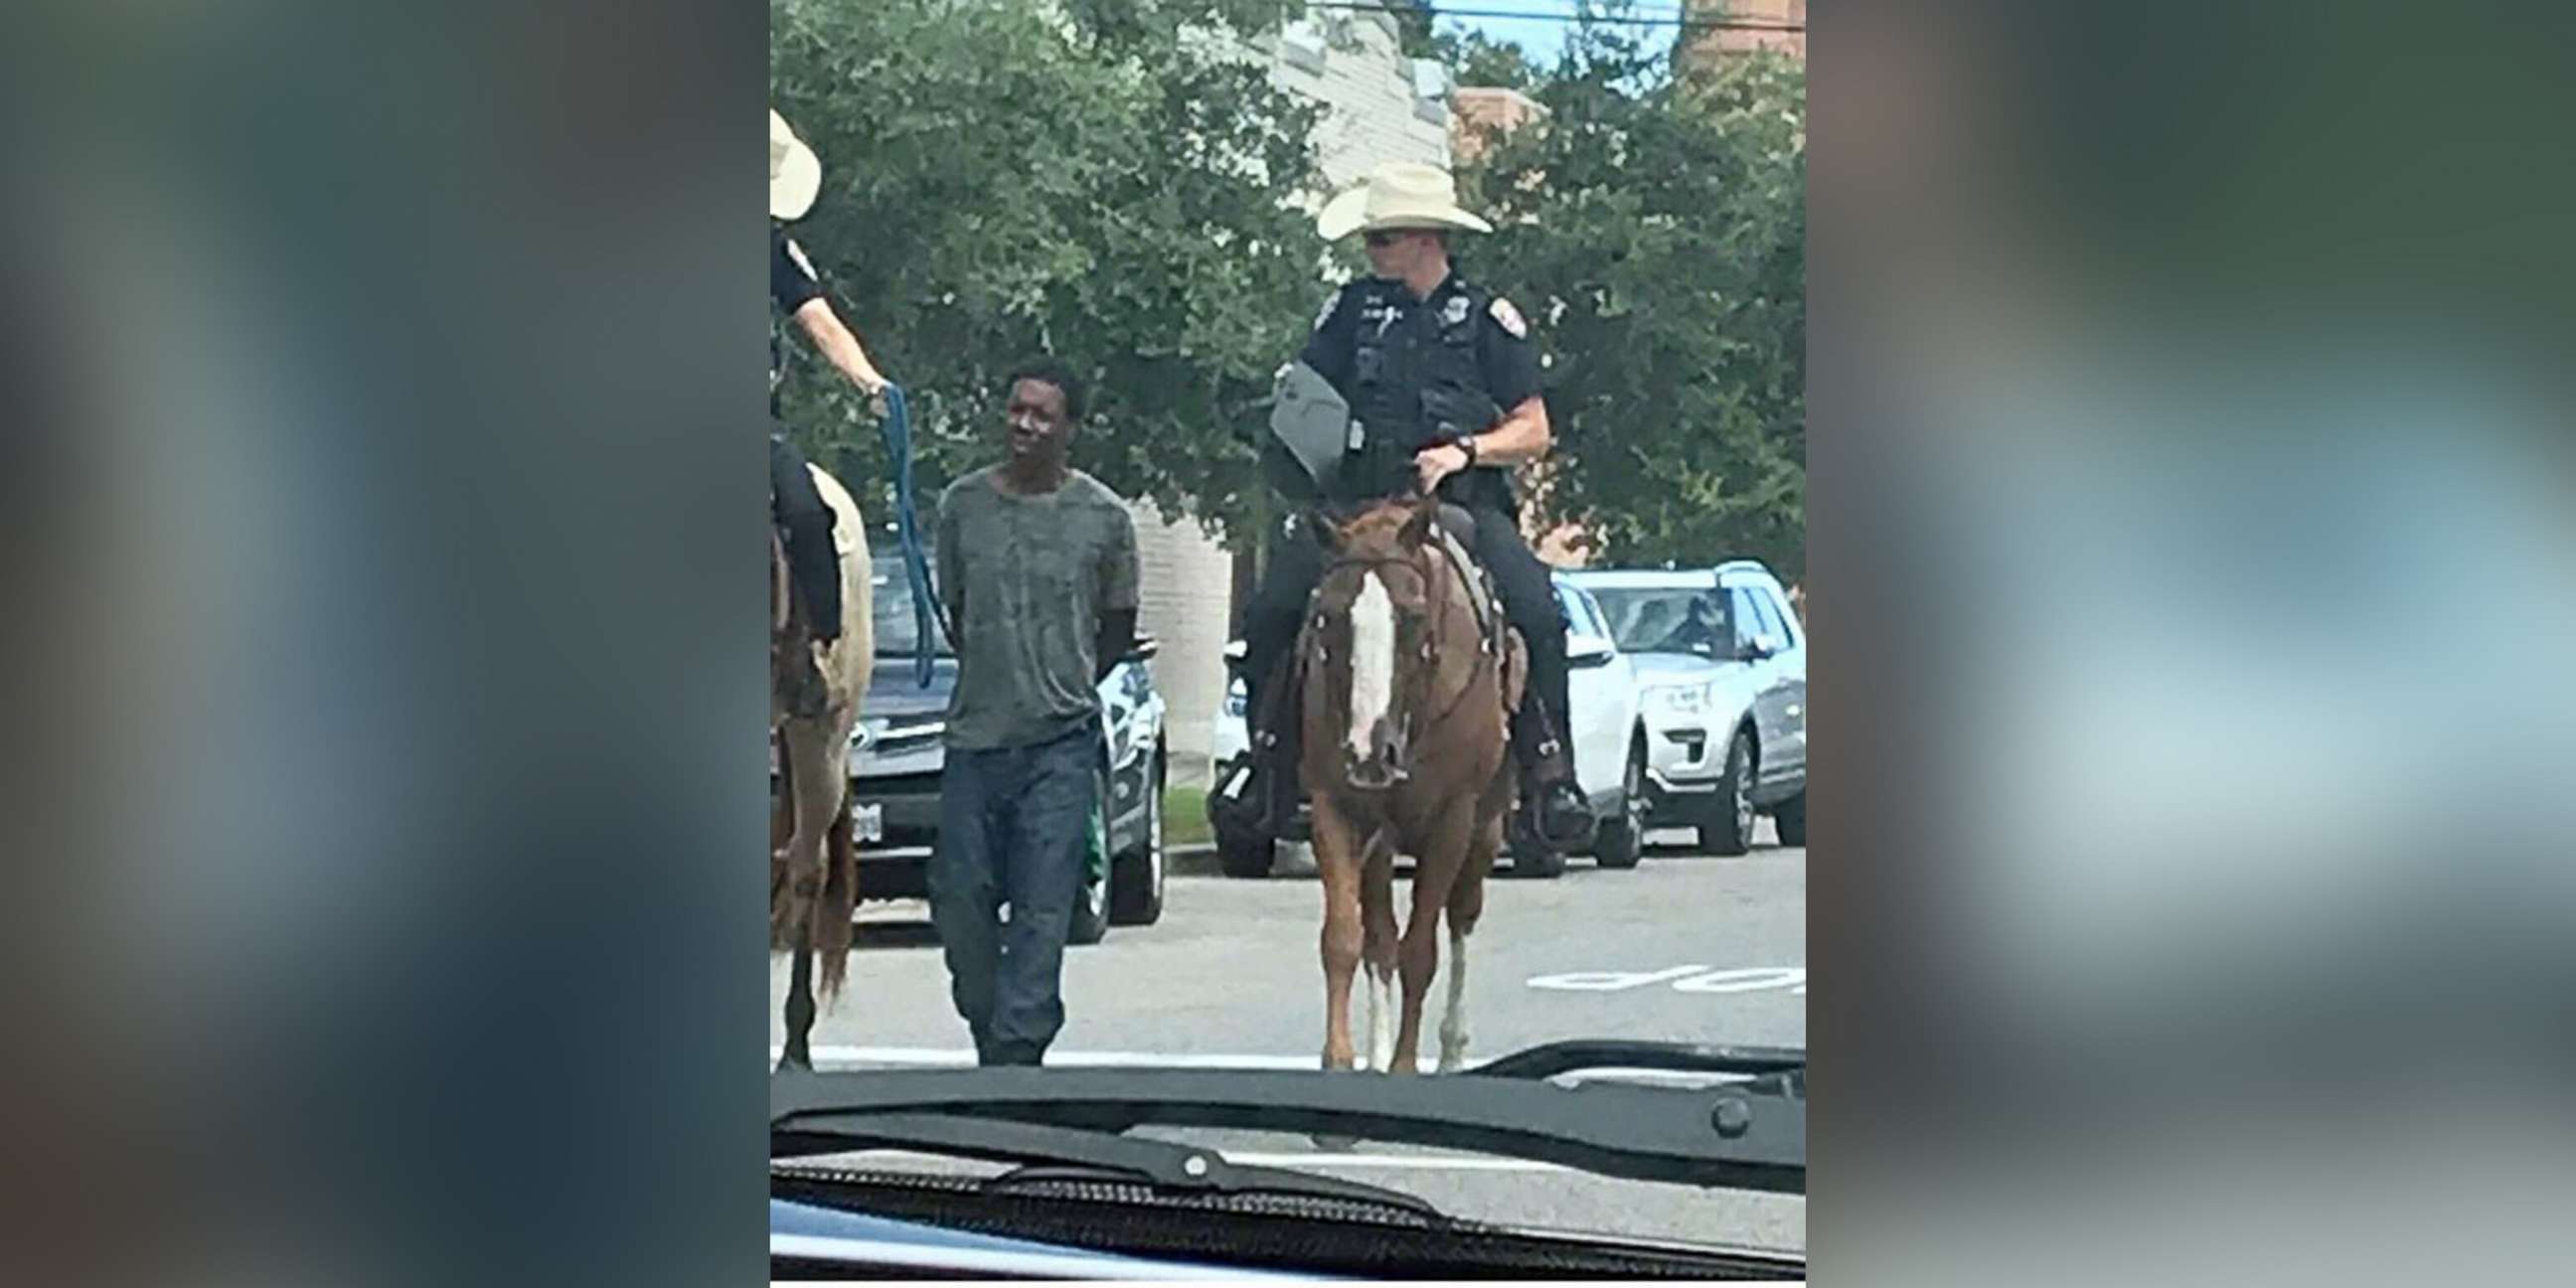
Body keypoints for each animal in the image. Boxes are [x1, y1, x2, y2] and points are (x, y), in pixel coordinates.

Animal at [1298, 494, 1515, 1076]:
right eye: (1328, 617)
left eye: (1414, 616)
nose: (1370, 751)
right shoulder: (1335, 809)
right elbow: (1344, 938)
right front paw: (1342, 1059)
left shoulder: (1452, 820)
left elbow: (1423, 951)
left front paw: (1403, 1066)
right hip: (1382, 839)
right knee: (1380, 939)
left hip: (1484, 830)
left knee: (1460, 918)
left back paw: (1451, 1049)